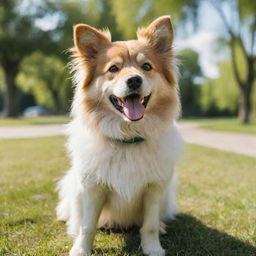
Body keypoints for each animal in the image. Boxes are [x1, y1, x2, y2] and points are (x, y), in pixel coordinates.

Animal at [56, 16, 183, 256]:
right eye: (113, 68)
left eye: (146, 66)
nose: (134, 80)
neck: (128, 138)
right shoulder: (92, 189)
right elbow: (87, 226)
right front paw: (81, 249)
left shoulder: (154, 189)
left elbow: (149, 225)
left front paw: (153, 248)